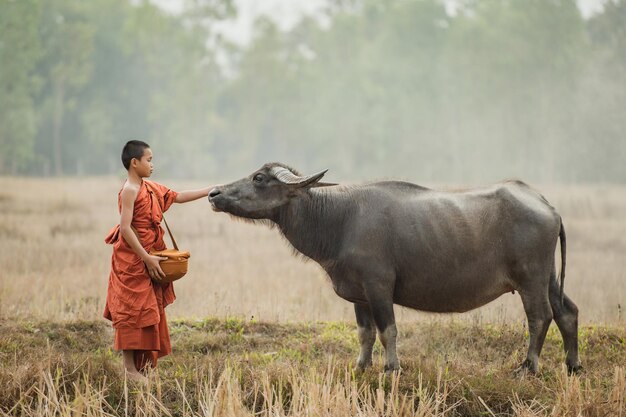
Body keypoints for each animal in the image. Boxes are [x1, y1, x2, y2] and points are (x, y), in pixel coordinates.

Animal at [210, 163, 580, 374]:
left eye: (259, 178)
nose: (214, 193)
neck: (339, 220)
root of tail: (547, 205)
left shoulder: (379, 287)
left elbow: (388, 330)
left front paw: (391, 368)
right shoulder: (359, 295)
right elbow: (365, 333)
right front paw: (361, 367)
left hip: (530, 278)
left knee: (540, 317)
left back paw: (528, 367)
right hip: (548, 277)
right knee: (567, 312)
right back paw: (573, 365)